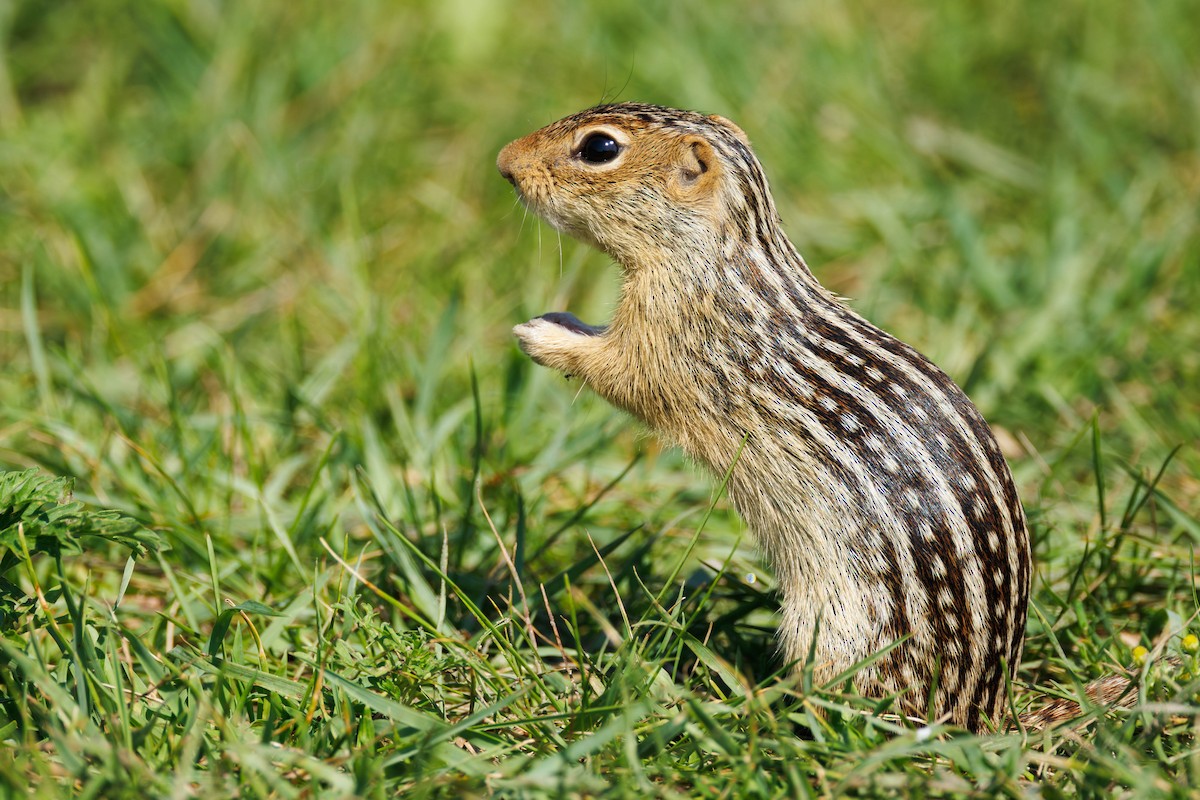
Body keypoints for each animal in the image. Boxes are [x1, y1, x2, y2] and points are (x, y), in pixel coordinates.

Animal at [497, 102, 1032, 733]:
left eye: (600, 148)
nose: (504, 163)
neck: (725, 257)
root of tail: (981, 713)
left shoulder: (672, 340)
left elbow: (620, 371)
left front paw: (541, 334)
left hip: (830, 634)